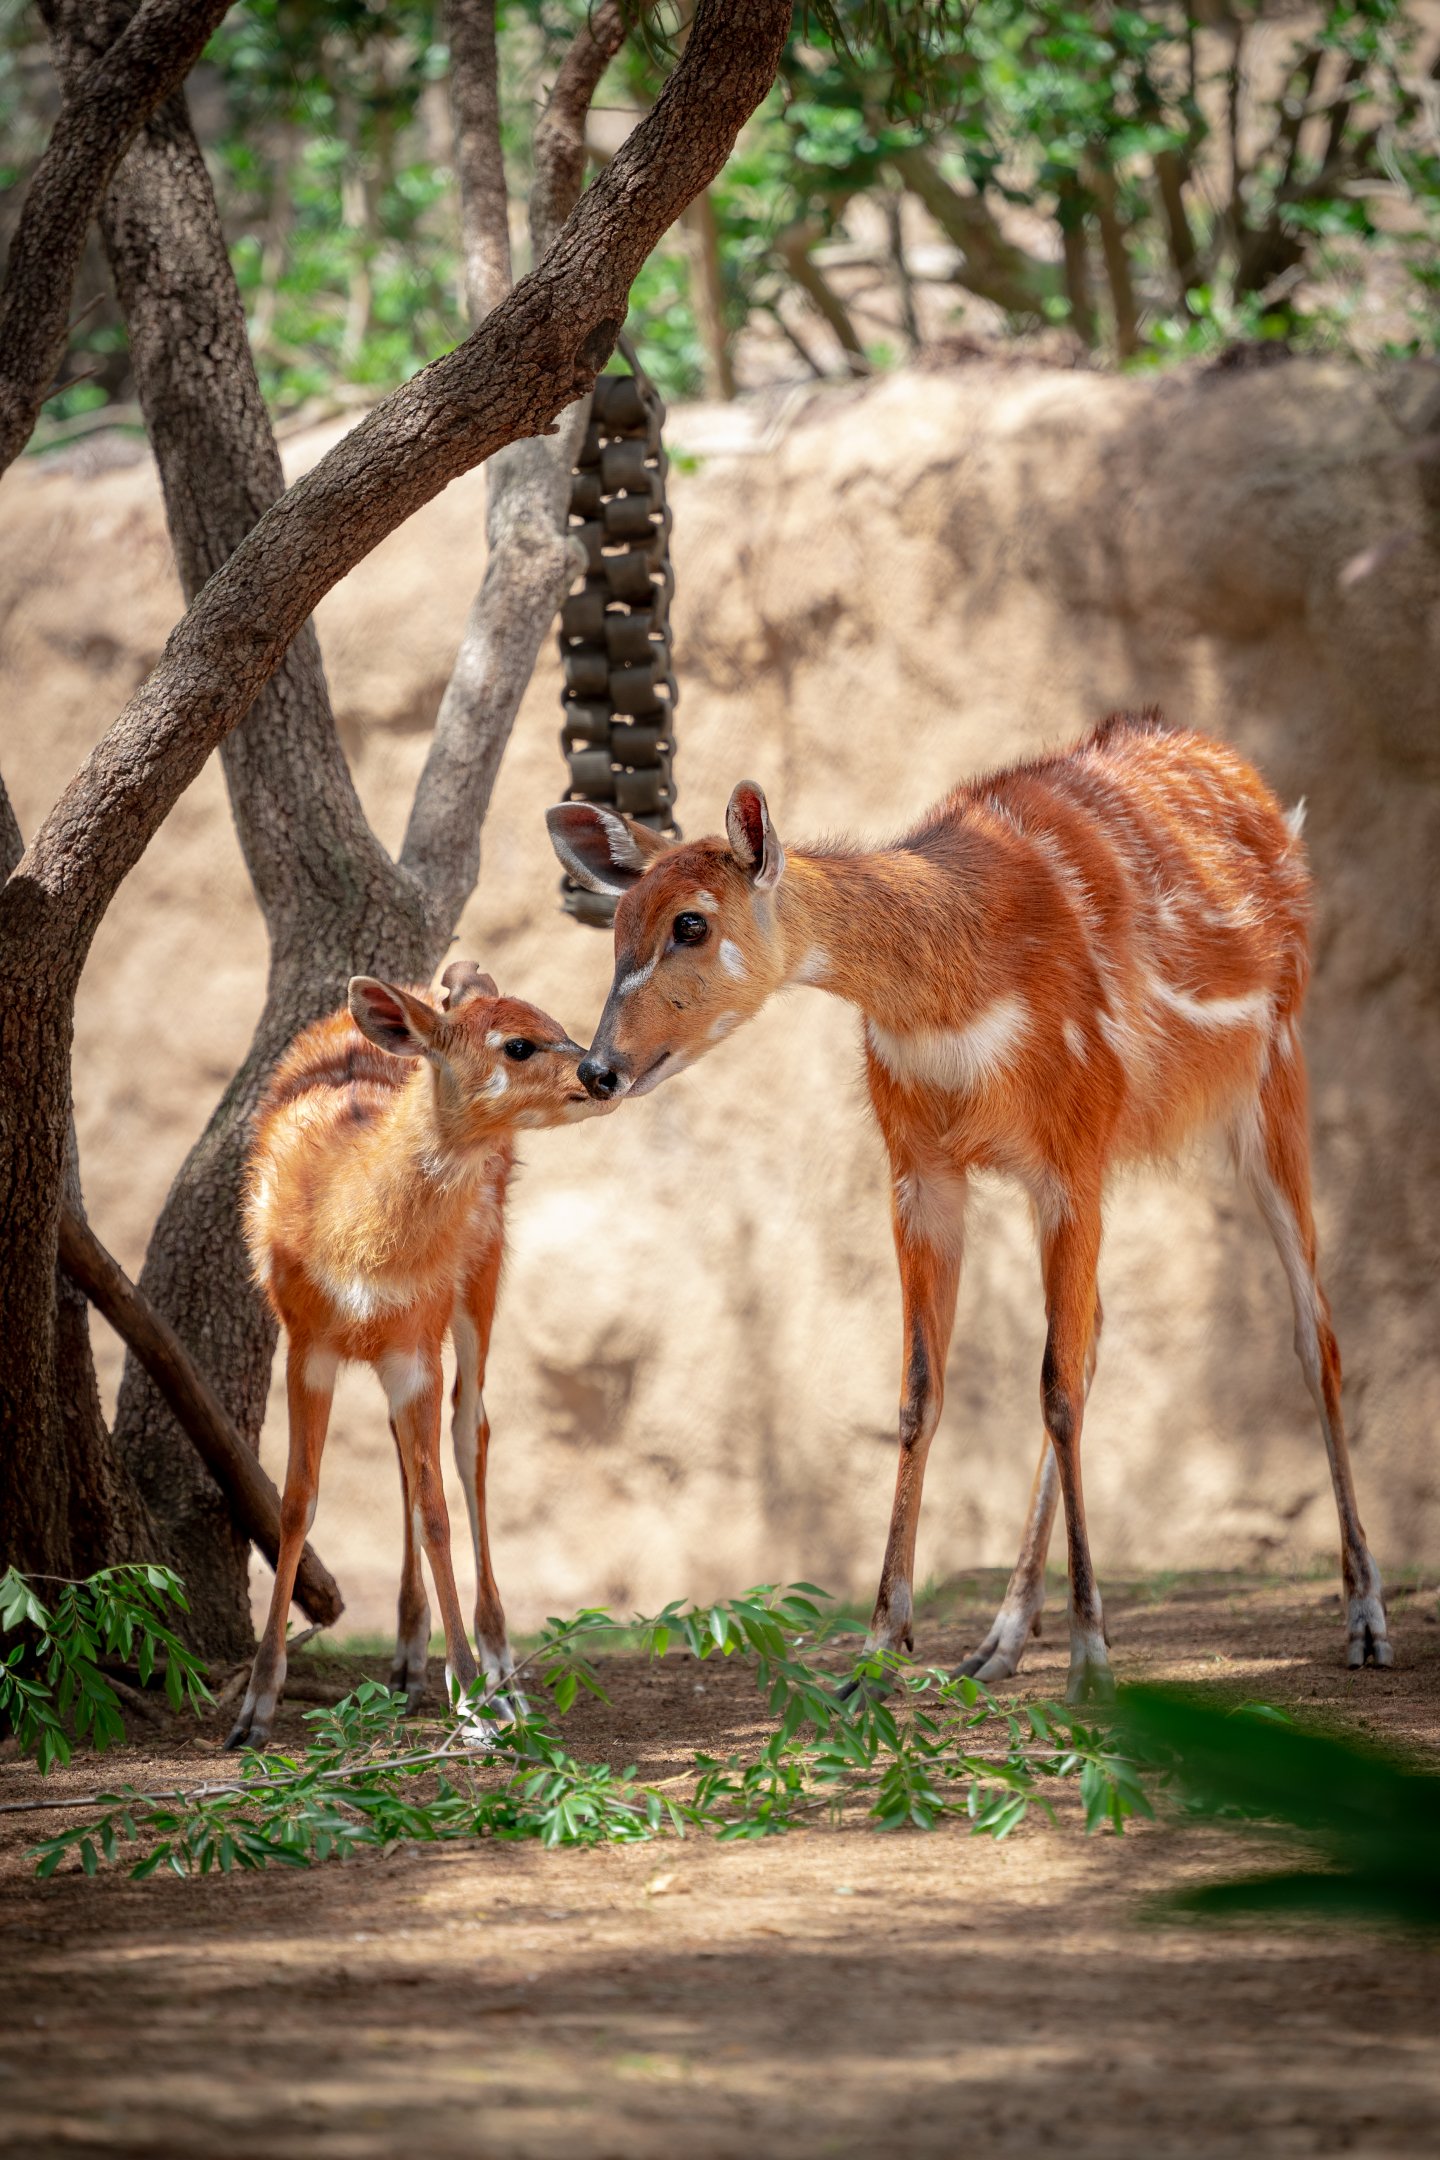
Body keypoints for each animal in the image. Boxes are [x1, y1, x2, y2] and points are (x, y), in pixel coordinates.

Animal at [229, 962, 608, 1750]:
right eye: (519, 1044)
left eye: (557, 1023)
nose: (601, 1073)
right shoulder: (307, 1342)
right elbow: (297, 1501)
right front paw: (253, 1710)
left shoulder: (415, 1343)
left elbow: (436, 1509)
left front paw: (476, 1699)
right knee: (409, 1447)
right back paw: (406, 1658)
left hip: (481, 1276)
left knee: (471, 1432)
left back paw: (501, 1671)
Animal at [547, 712, 1392, 1702]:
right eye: (616, 927)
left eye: (691, 922)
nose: (599, 1068)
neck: (953, 988)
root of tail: (1258, 789)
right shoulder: (924, 1167)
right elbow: (922, 1390)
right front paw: (877, 1655)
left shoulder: (1069, 1152)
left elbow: (1052, 1386)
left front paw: (1092, 1661)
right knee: (1097, 1336)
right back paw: (997, 1643)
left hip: (1273, 1074)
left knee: (1312, 1330)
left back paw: (1365, 1620)